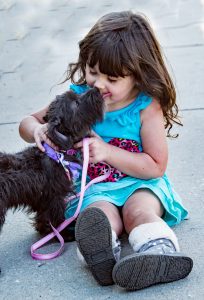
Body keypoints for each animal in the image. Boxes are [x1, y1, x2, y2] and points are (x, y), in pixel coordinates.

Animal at [0, 86, 103, 244]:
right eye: (76, 103)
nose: (97, 88)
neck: (58, 151)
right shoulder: (54, 197)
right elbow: (55, 217)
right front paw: (63, 234)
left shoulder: (42, 200)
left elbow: (43, 217)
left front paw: (45, 231)